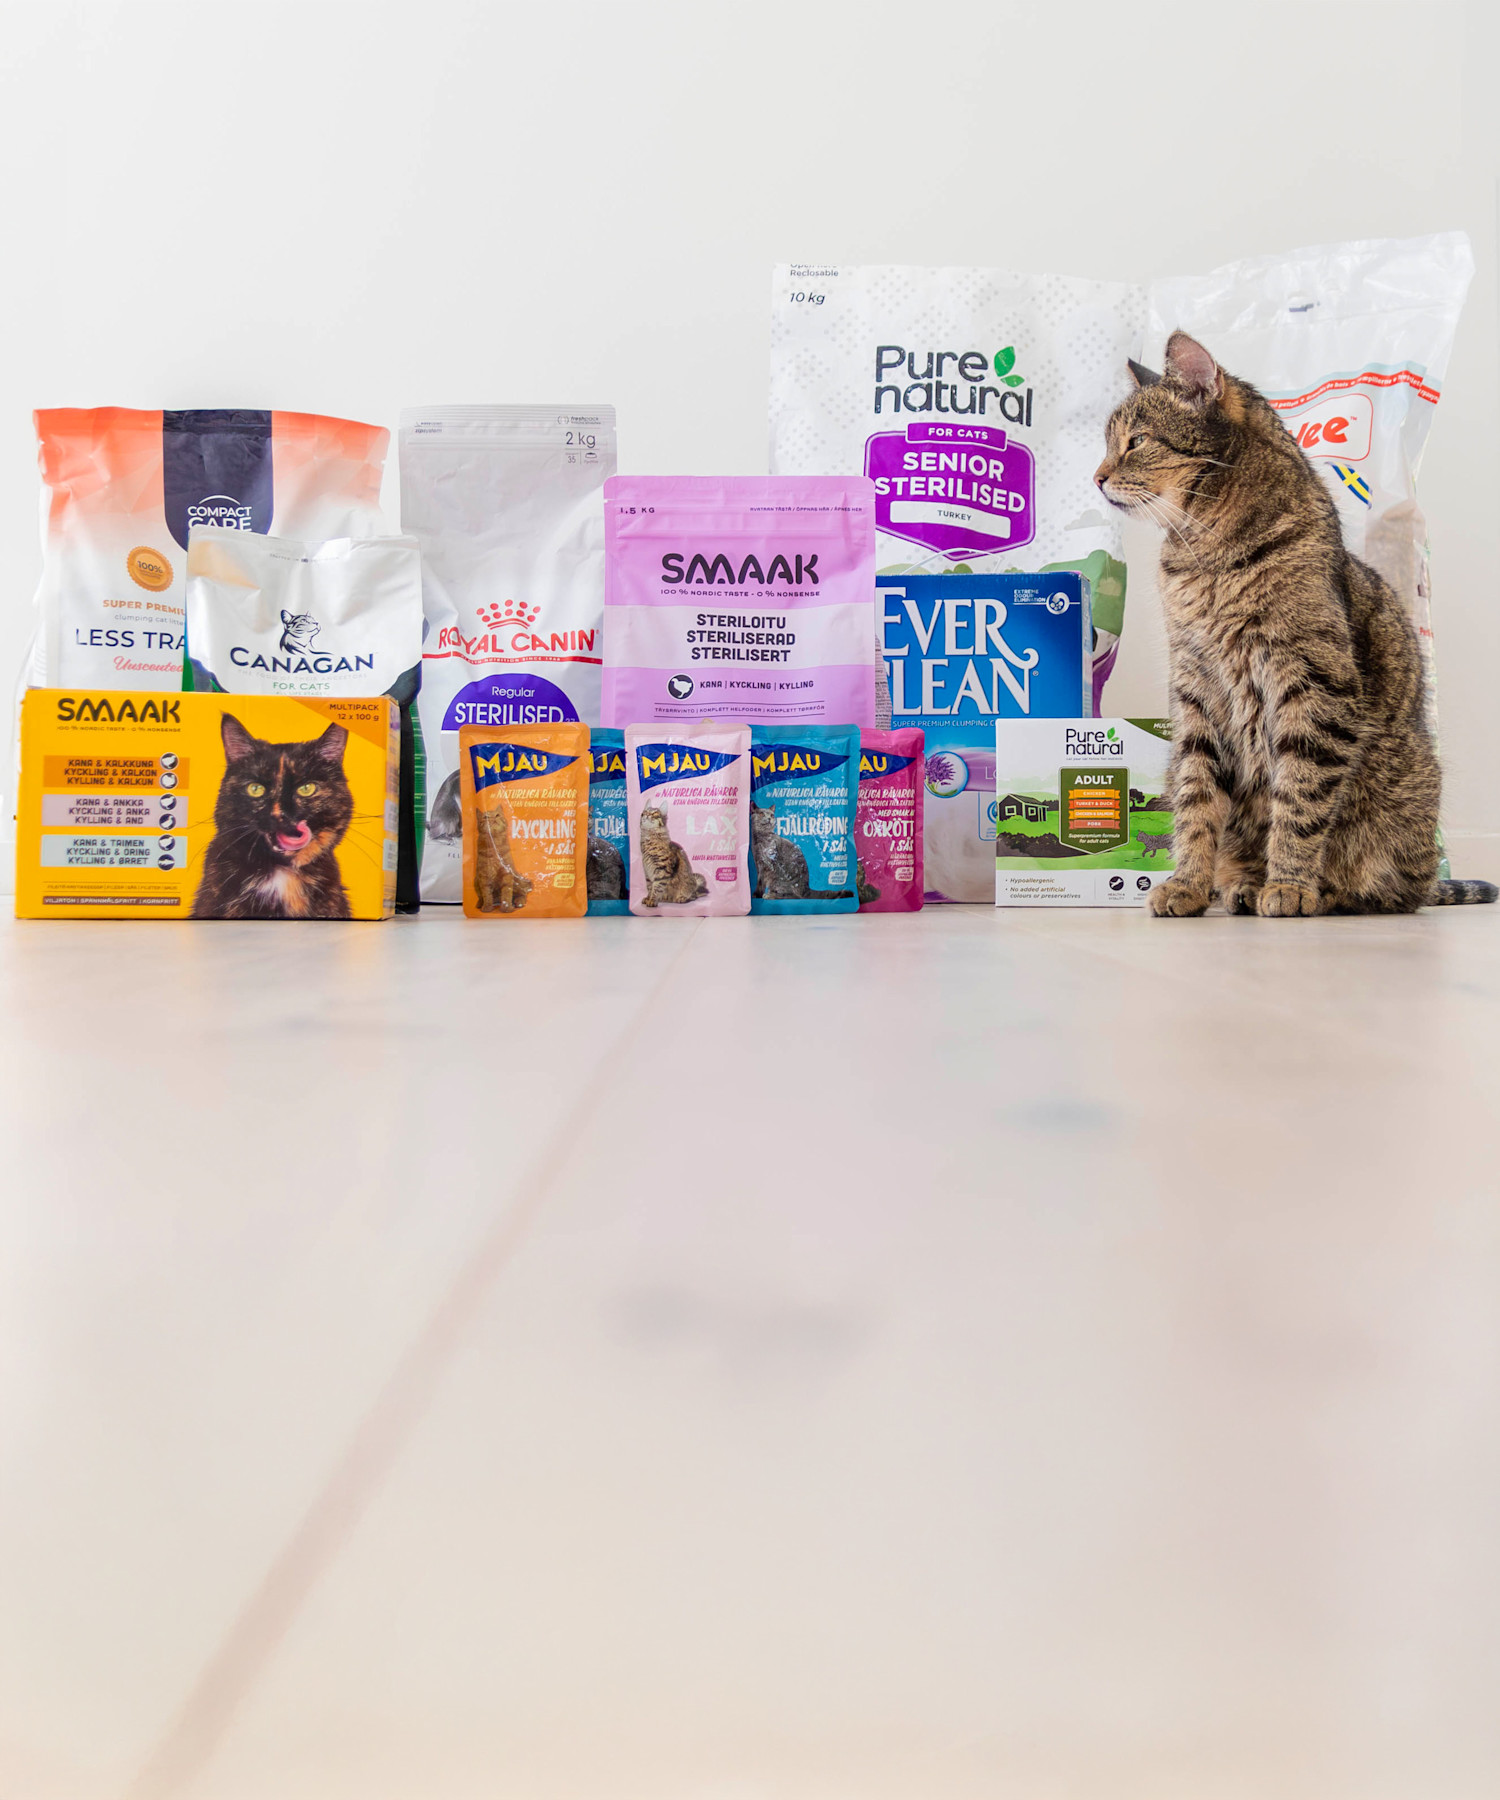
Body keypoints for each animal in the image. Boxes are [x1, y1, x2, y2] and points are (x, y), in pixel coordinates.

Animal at [1095, 332, 1497, 916]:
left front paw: (1288, 883)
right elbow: (1195, 801)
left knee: (1386, 891)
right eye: (1107, 443)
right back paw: (1239, 884)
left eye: (1137, 441)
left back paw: (1320, 890)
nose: (1096, 477)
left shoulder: (1312, 686)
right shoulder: (1195, 690)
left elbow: (1300, 799)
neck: (1204, 553)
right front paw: (1189, 883)